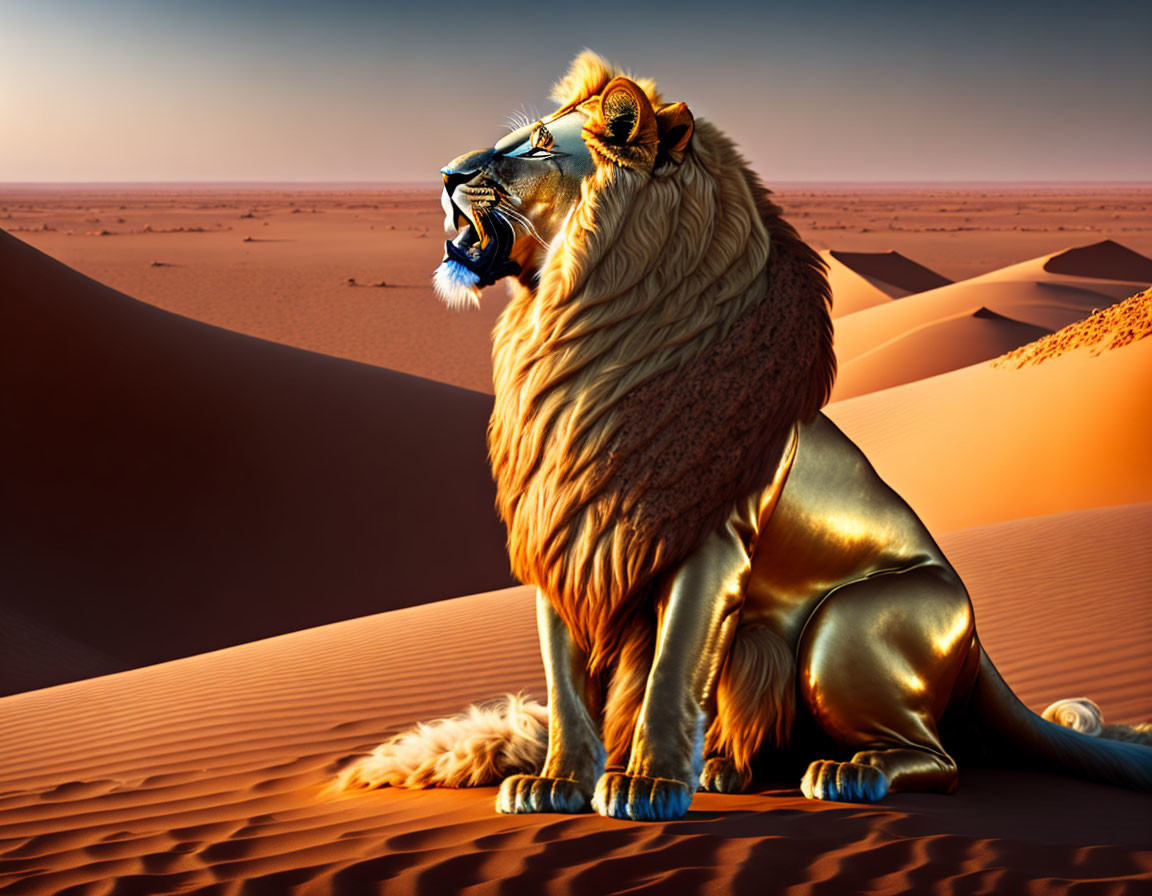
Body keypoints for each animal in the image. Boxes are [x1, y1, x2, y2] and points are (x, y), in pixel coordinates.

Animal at [340, 48, 1152, 815]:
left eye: (537, 149)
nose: (446, 174)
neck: (577, 333)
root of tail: (981, 643)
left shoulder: (712, 544)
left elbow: (670, 673)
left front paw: (646, 787)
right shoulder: (566, 533)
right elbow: (568, 686)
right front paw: (558, 783)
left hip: (844, 628)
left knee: (941, 761)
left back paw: (845, 775)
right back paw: (727, 771)